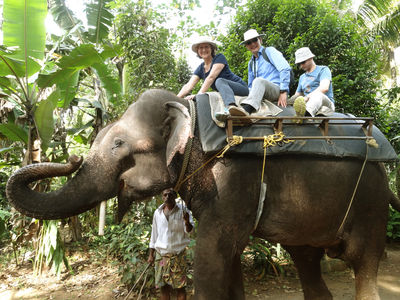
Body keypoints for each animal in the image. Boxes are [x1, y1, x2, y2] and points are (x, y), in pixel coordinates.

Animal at [6, 89, 400, 300]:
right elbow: (229, 254)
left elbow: (213, 252)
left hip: (370, 202)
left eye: (118, 144)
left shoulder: (231, 178)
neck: (190, 112)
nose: (71, 157)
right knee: (305, 258)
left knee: (363, 261)